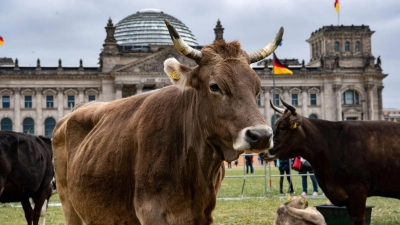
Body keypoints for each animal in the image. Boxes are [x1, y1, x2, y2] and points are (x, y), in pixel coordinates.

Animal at [52, 19, 284, 225]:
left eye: (257, 88)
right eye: (214, 86)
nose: (261, 136)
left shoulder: (202, 215)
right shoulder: (151, 214)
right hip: (69, 203)